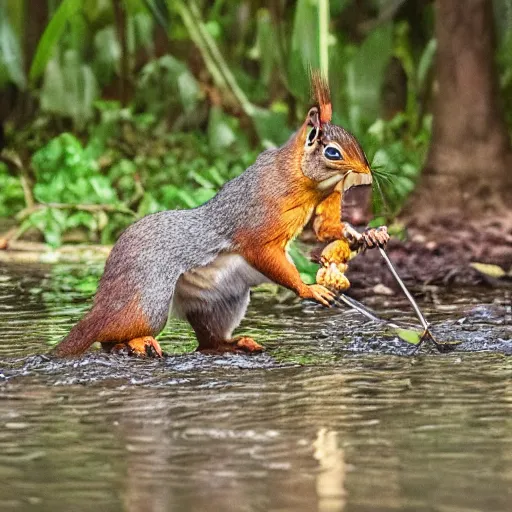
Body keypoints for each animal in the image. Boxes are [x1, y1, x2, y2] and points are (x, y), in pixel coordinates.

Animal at [53, 74, 388, 358]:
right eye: (332, 153)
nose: (367, 173)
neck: (300, 179)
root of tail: (106, 297)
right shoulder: (259, 219)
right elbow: (264, 251)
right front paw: (308, 288)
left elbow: (324, 229)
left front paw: (365, 235)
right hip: (149, 299)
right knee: (107, 336)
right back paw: (134, 341)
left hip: (217, 302)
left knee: (208, 342)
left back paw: (234, 343)